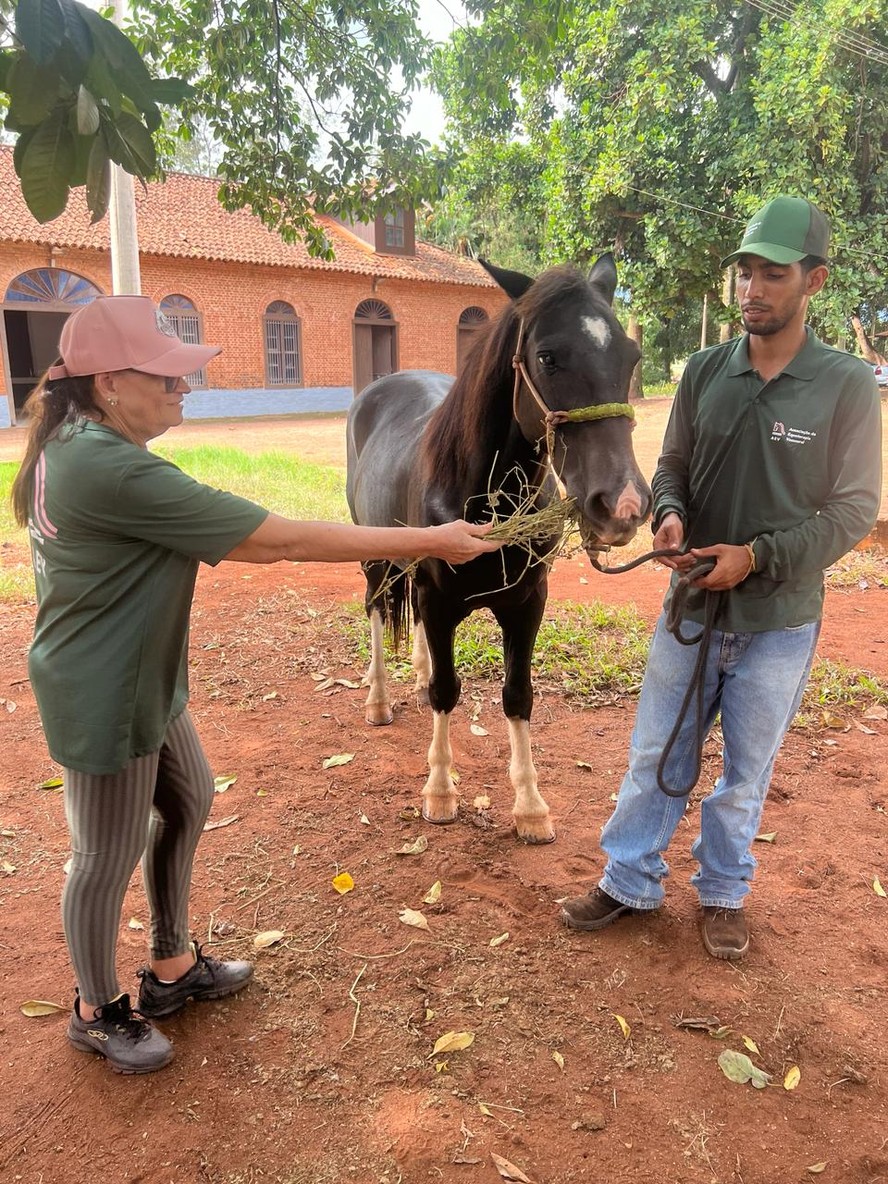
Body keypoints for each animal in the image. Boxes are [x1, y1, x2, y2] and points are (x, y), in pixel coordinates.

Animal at [348, 254, 653, 843]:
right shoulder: (439, 599)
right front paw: (440, 791)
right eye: (547, 357)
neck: (481, 498)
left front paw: (530, 806)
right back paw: (378, 699)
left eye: (632, 356)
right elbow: (448, 690)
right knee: (375, 610)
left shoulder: (527, 602)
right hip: (375, 557)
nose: (623, 505)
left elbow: (517, 695)